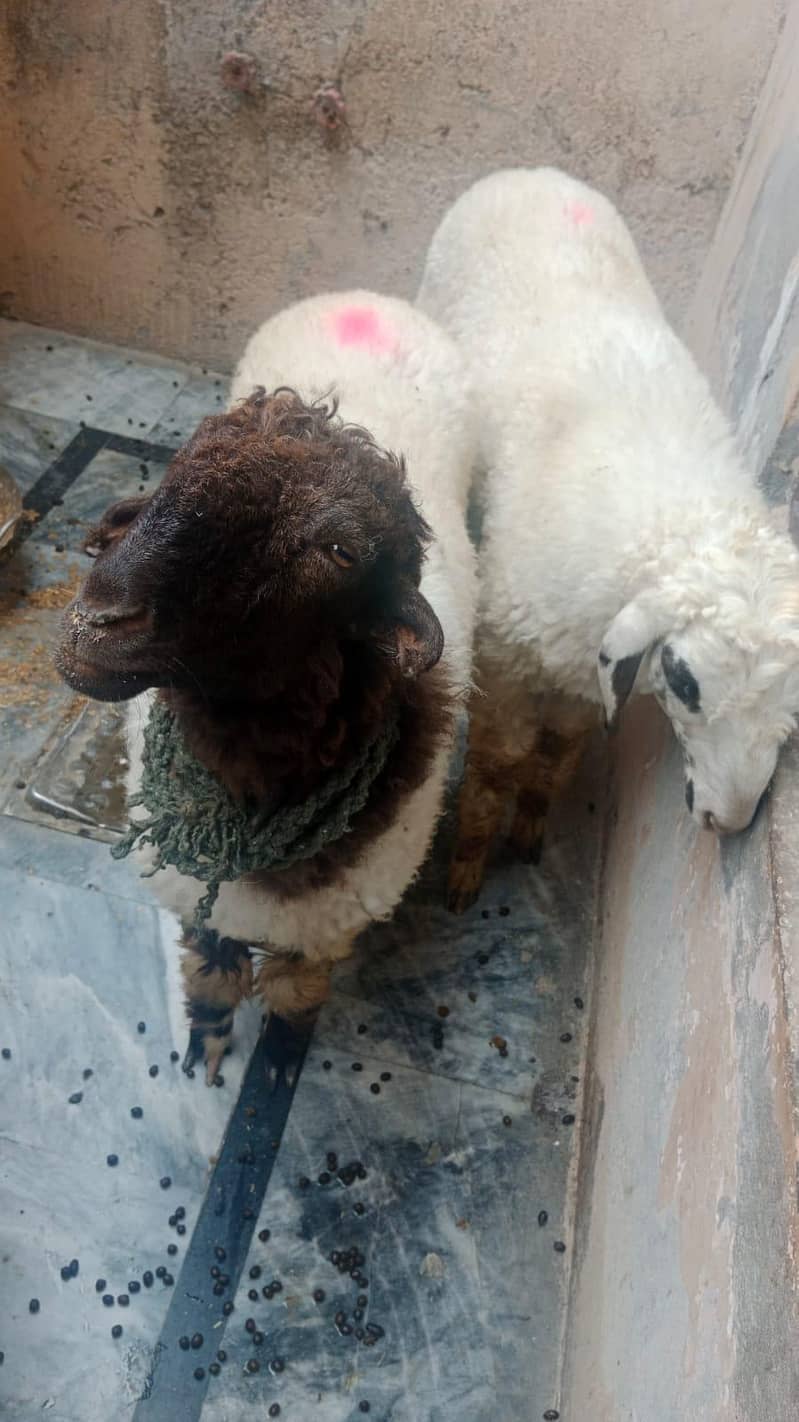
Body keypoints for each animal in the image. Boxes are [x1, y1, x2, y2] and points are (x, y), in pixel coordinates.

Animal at [57, 291, 478, 1076]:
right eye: (174, 471)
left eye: (338, 551)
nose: (96, 620)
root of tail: (368, 298)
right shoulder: (200, 893)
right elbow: (213, 967)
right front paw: (208, 1036)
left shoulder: (328, 922)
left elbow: (293, 989)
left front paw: (279, 1056)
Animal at [417, 166, 799, 912]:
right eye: (683, 679)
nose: (731, 818)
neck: (675, 516)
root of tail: (528, 172)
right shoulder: (509, 656)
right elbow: (498, 765)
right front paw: (467, 866)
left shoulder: (578, 669)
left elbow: (556, 752)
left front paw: (529, 828)